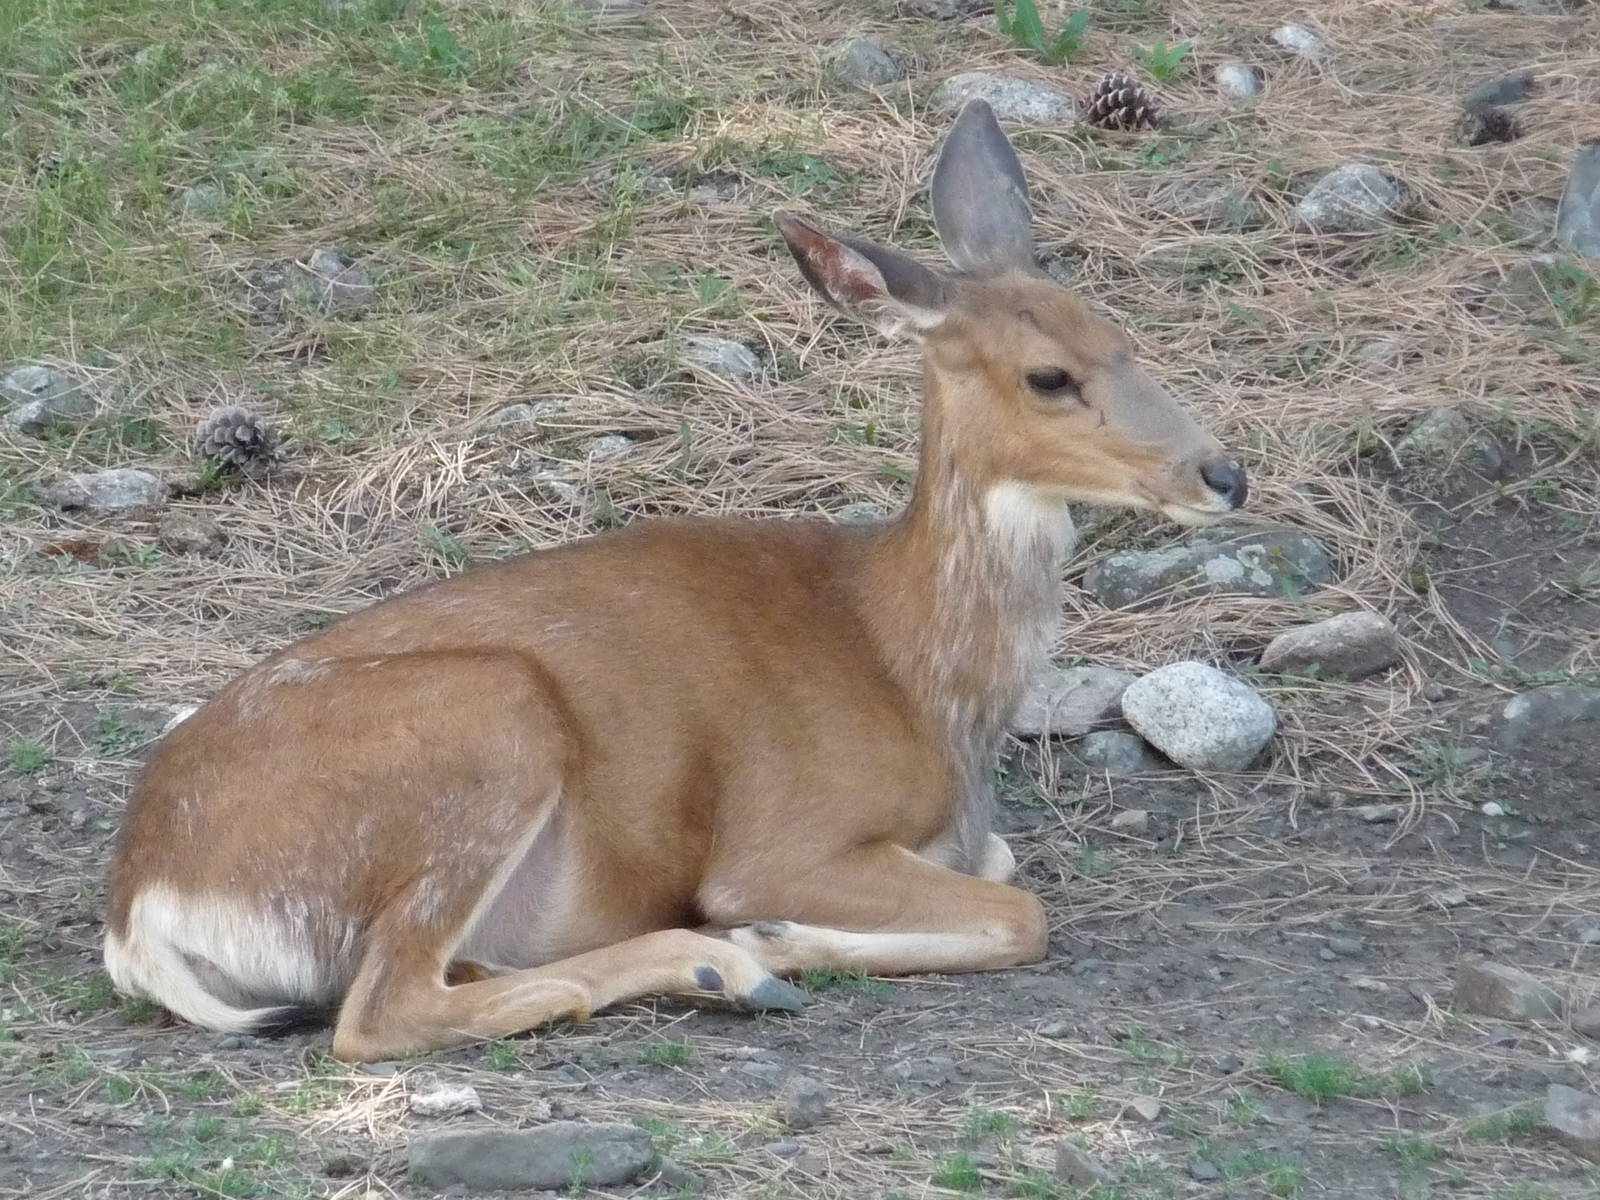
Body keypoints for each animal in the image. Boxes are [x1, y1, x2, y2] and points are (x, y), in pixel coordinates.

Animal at [102, 99, 1248, 1062]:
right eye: (1048, 376)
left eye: (1125, 337)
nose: (1223, 472)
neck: (914, 669)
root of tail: (143, 905)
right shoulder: (784, 834)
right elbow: (1021, 911)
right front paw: (778, 934)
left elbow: (1005, 869)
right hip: (489, 719)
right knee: (379, 1012)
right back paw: (721, 964)